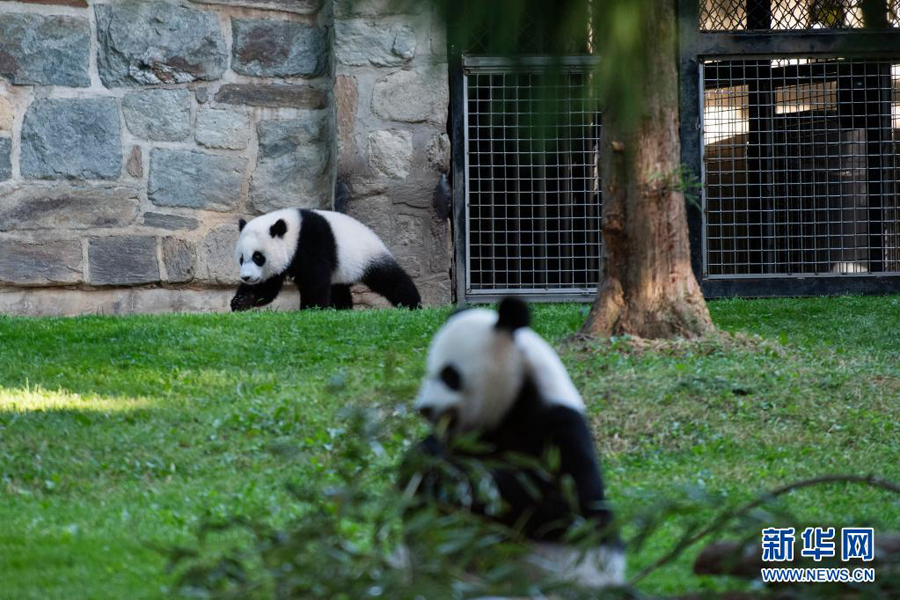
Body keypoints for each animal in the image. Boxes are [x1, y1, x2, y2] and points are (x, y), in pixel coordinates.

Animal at [229, 209, 418, 312]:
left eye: (258, 257)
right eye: (241, 259)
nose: (246, 277)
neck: (293, 231)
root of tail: (375, 236)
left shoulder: (311, 243)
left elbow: (315, 281)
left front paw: (311, 309)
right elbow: (267, 287)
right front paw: (240, 301)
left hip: (368, 256)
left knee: (391, 280)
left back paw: (413, 304)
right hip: (342, 272)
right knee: (339, 290)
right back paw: (342, 310)